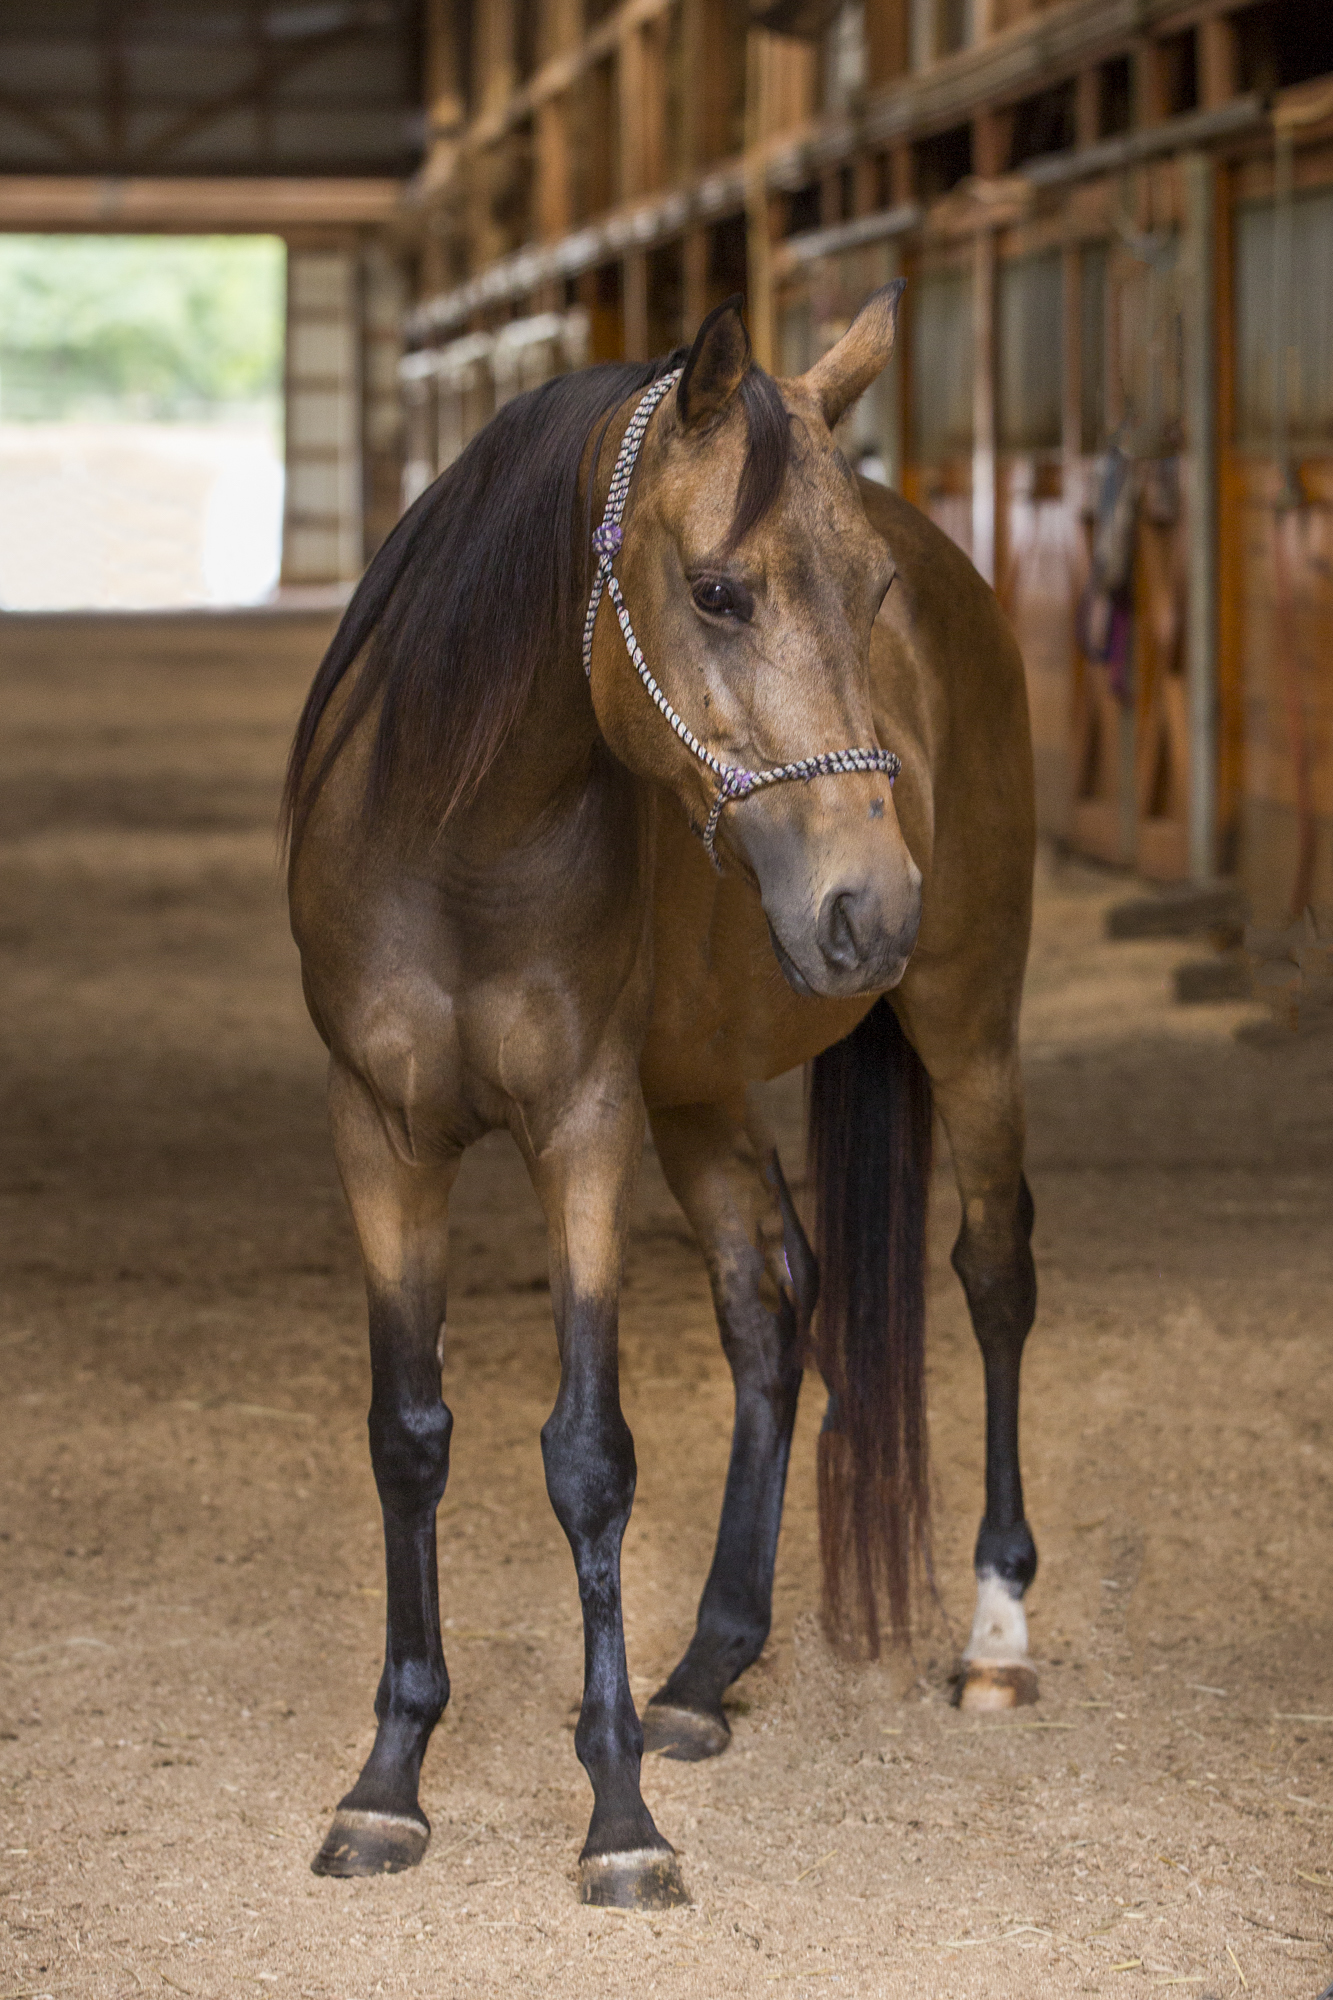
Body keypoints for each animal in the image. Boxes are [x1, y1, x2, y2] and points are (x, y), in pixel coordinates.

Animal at [283, 286, 1038, 1911]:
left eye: (869, 592)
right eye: (717, 592)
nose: (868, 906)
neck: (461, 837)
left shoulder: (581, 1124)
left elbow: (588, 1453)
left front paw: (618, 1815)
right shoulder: (378, 1132)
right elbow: (407, 1430)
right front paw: (389, 1781)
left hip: (966, 1017)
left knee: (995, 1273)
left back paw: (997, 1639)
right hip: (699, 1089)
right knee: (774, 1297)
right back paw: (704, 1670)